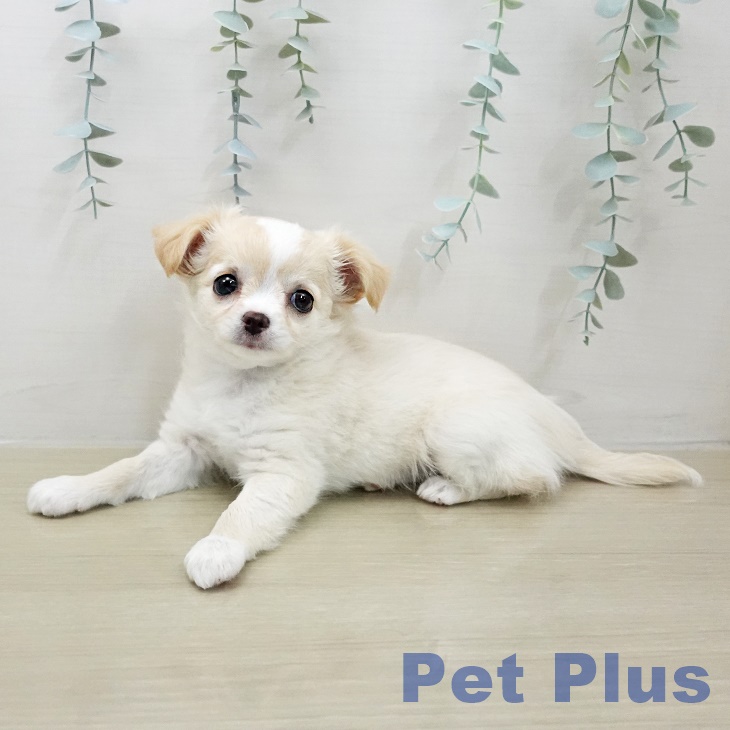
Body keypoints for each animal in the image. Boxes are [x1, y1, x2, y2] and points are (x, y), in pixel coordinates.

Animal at [27, 207, 701, 589]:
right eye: (225, 284)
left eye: (302, 300)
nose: (255, 320)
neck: (243, 385)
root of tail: (550, 414)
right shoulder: (182, 450)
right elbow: (121, 471)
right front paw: (67, 488)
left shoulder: (284, 474)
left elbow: (242, 514)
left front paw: (216, 549)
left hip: (455, 431)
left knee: (536, 478)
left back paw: (445, 488)